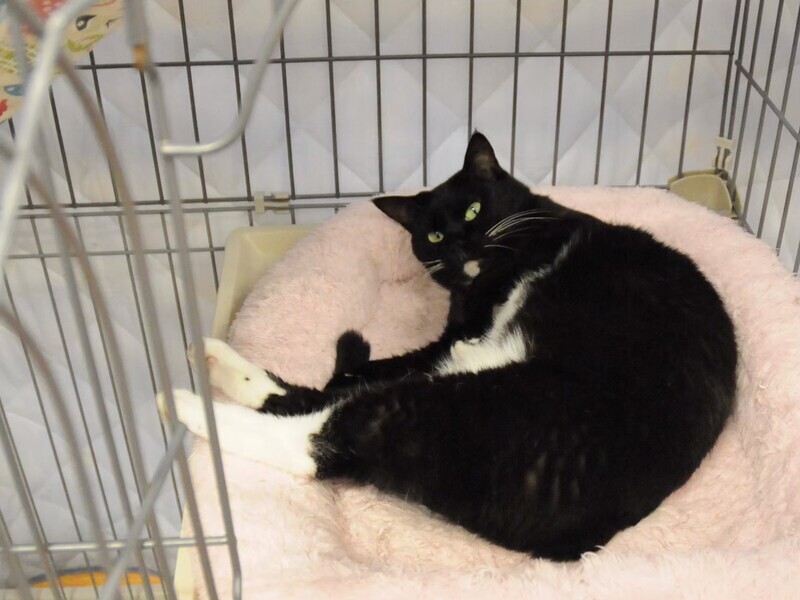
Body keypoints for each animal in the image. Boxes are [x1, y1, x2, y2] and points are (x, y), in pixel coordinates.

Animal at [161, 132, 737, 561]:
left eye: (475, 209)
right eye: (433, 237)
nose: (461, 243)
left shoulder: (461, 330)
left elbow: (352, 381)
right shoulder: (452, 333)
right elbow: (356, 373)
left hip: (462, 404)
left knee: (315, 440)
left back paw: (184, 403)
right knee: (316, 402)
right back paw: (209, 360)